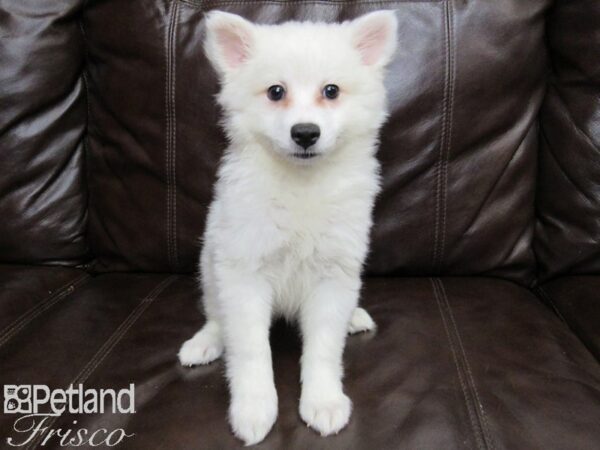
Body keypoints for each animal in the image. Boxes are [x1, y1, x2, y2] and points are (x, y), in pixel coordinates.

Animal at [179, 8, 398, 444]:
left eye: (331, 91)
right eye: (275, 92)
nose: (305, 133)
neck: (302, 183)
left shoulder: (334, 274)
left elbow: (324, 349)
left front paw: (324, 401)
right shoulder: (243, 272)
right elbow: (250, 349)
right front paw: (253, 408)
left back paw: (354, 318)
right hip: (209, 267)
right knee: (216, 316)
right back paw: (205, 343)